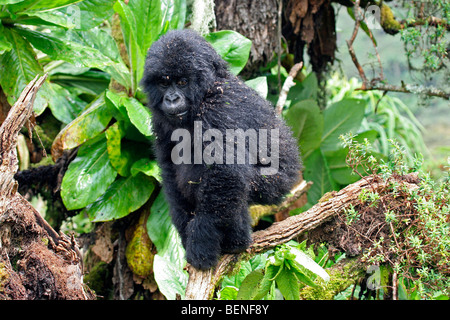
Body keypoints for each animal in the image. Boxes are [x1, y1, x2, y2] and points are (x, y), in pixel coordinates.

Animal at [141, 30, 302, 270]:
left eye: (182, 82)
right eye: (163, 83)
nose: (171, 98)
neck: (206, 93)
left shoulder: (220, 110)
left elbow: (227, 172)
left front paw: (201, 241)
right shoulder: (160, 122)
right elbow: (170, 170)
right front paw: (186, 232)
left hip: (273, 186)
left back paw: (237, 240)